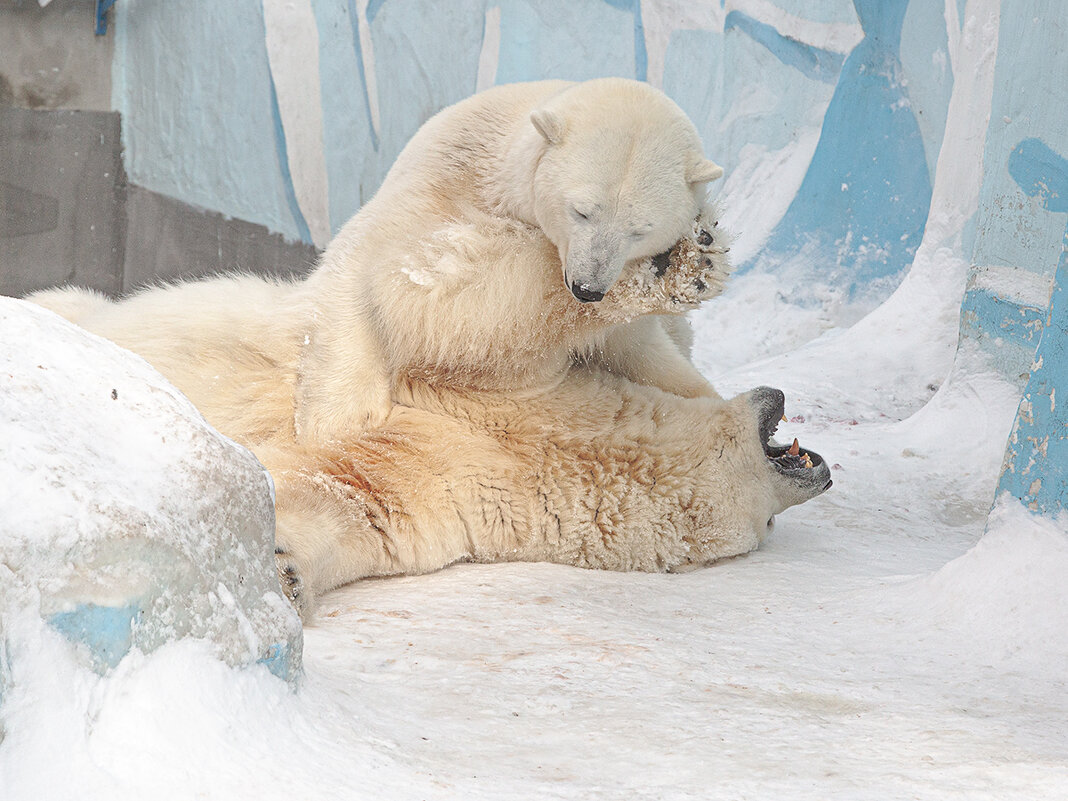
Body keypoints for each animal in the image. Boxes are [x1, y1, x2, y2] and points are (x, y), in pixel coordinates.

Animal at [294, 80, 726, 446]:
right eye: (582, 211)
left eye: (640, 230)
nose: (588, 289)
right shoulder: (441, 187)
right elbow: (385, 270)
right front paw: (341, 416)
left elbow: (638, 350)